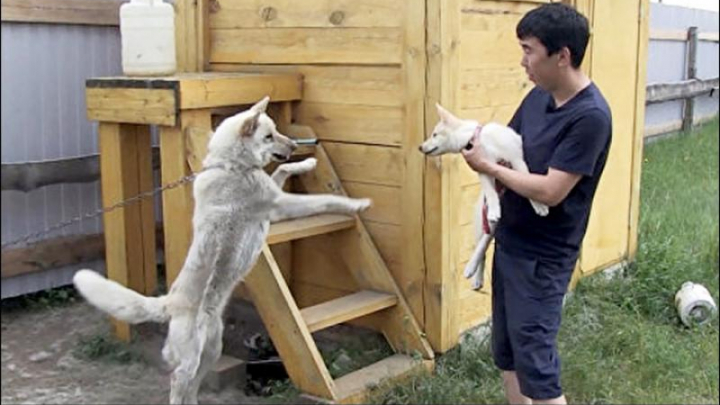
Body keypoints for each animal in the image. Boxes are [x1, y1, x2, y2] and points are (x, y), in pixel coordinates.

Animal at [73, 96, 372, 402]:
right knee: (177, 383)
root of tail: (169, 302)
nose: (293, 145)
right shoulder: (279, 205)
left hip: (212, 350)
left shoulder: (274, 202)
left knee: (192, 387)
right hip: (191, 358)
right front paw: (357, 205)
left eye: (277, 131)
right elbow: (325, 200)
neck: (232, 165)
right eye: (268, 136)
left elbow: (284, 169)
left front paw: (308, 162)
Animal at [420, 102, 548, 288]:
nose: (420, 147)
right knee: (482, 247)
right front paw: (494, 208)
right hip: (481, 224)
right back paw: (474, 272)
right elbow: (491, 192)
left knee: (485, 242)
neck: (479, 139)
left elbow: (528, 179)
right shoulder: (484, 169)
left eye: (435, 134)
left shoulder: (516, 160)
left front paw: (539, 204)